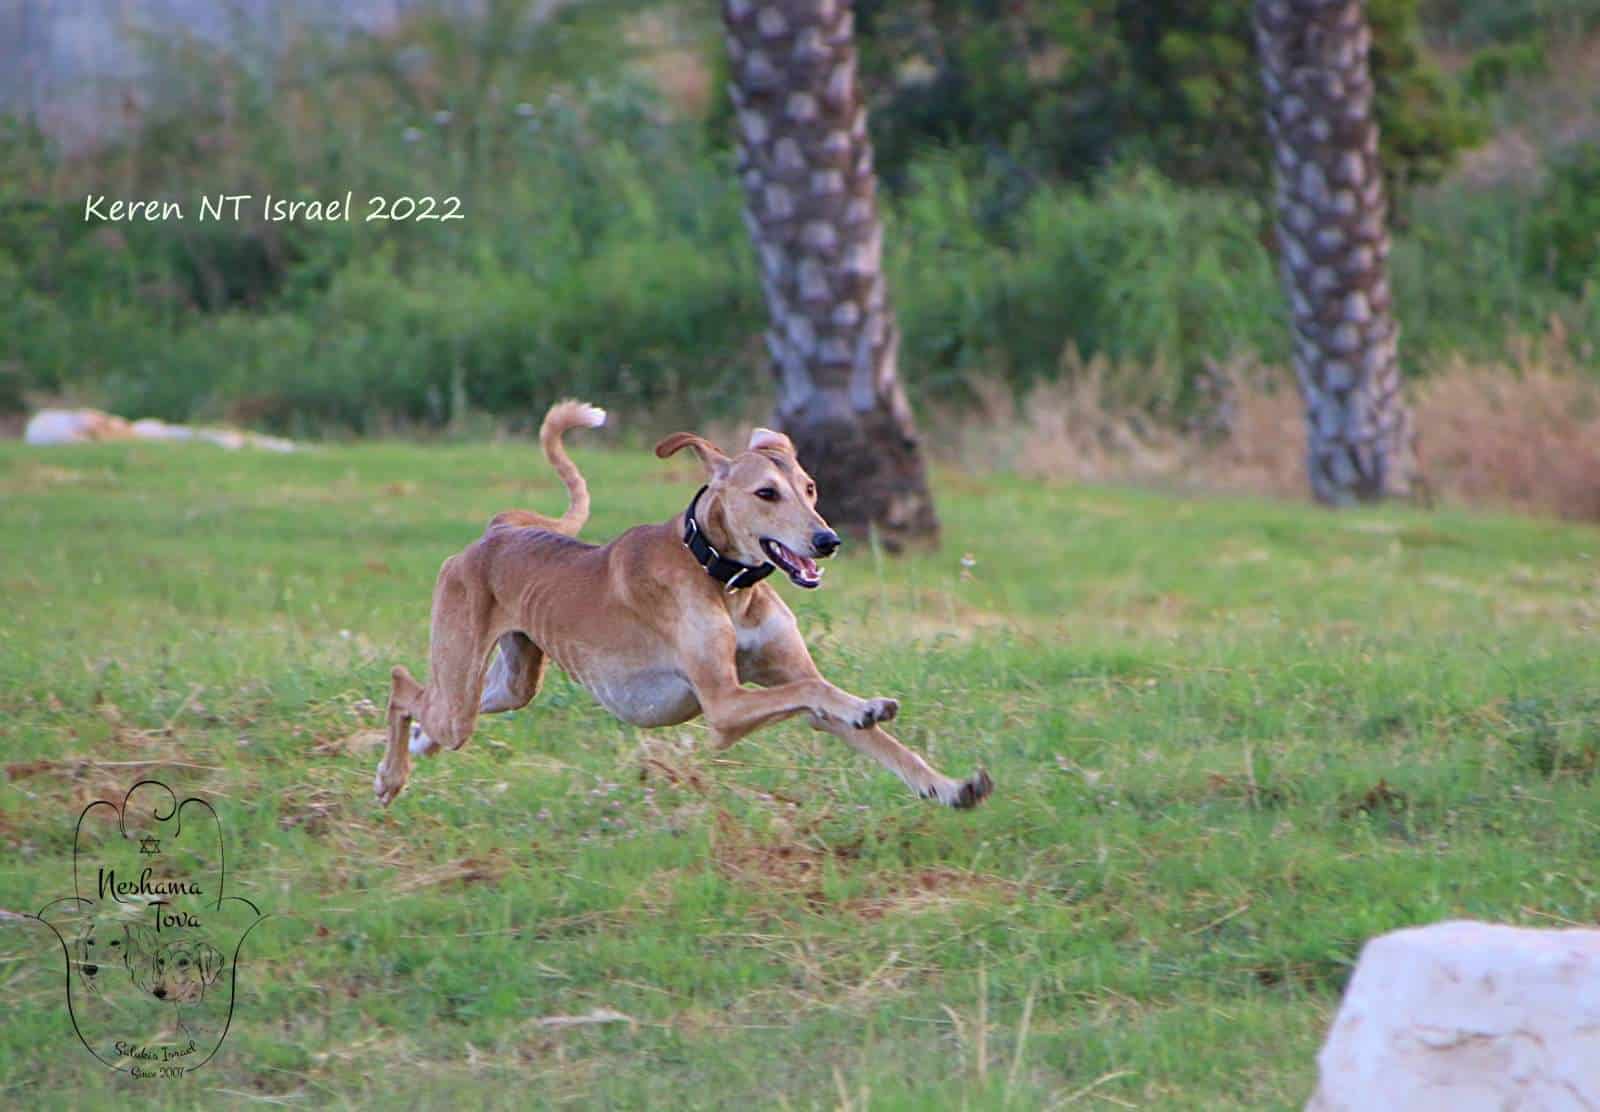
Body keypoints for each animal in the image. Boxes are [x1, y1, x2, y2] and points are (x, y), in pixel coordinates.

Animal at [379, 400, 992, 809]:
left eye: (810, 487)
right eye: (766, 493)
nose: (828, 541)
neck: (723, 579)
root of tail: (500, 529)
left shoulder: (781, 679)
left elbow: (873, 736)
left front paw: (951, 786)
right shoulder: (724, 705)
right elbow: (818, 694)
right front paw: (867, 704)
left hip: (509, 683)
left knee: (437, 707)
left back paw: (418, 748)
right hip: (460, 681)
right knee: (402, 685)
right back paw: (390, 776)